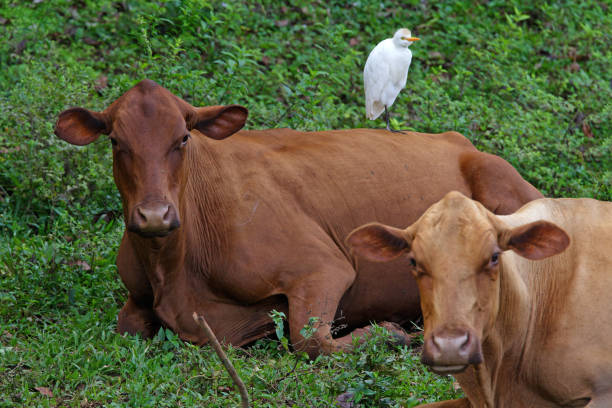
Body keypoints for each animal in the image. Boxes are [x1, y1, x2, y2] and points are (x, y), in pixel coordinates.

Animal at [52, 79, 540, 356]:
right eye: (116, 141)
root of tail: (460, 141)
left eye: (183, 139)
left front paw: (392, 333)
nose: (154, 215)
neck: (174, 273)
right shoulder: (136, 298)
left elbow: (310, 341)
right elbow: (126, 327)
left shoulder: (322, 267)